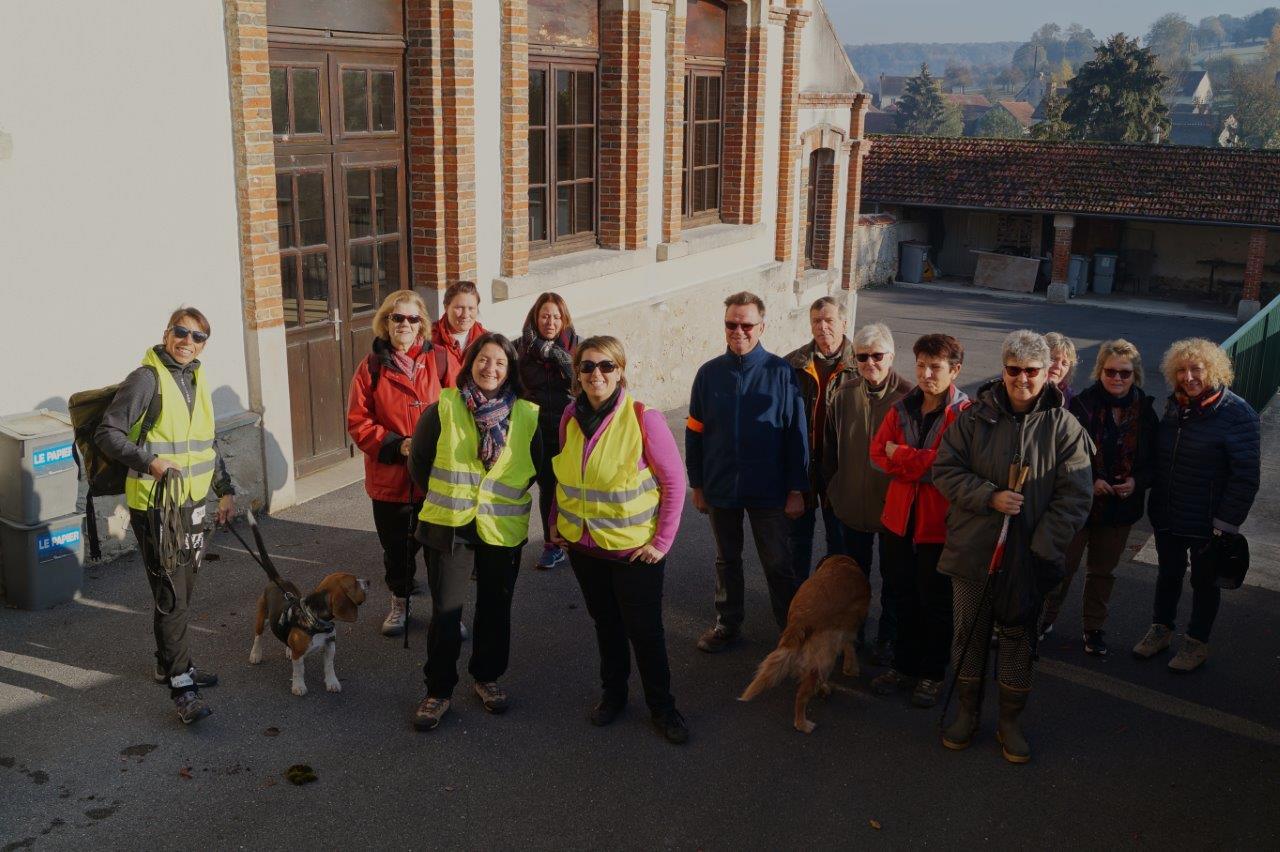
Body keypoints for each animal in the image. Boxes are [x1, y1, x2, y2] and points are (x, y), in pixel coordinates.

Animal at [742, 557, 870, 731]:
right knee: (802, 695)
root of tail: (801, 619)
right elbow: (850, 647)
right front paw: (852, 668)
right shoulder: (848, 629)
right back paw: (803, 723)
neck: (843, 563)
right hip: (826, 655)